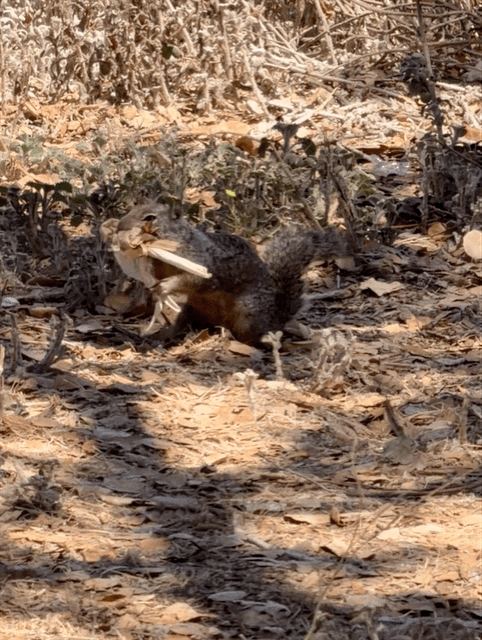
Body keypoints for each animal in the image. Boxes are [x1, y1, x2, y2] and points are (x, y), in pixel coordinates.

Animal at [101, 202, 348, 346]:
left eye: (150, 218)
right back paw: (163, 335)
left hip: (248, 314)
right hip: (191, 309)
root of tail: (275, 319)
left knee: (255, 336)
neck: (170, 246)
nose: (120, 225)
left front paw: (167, 286)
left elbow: (191, 279)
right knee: (184, 325)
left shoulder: (202, 264)